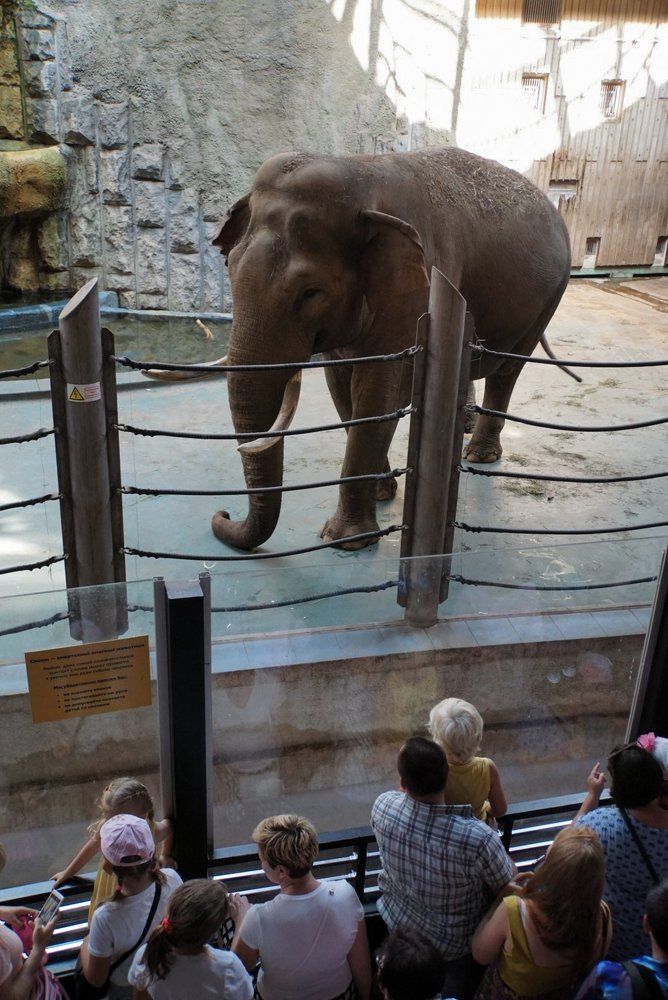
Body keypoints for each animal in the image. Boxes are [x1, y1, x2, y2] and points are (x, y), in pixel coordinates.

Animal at [209, 146, 572, 551]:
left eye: (310, 292)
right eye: (229, 266)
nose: (223, 514)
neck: (363, 172)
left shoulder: (424, 279)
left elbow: (379, 391)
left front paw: (346, 541)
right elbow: (342, 387)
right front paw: (382, 493)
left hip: (549, 299)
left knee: (507, 371)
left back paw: (479, 455)